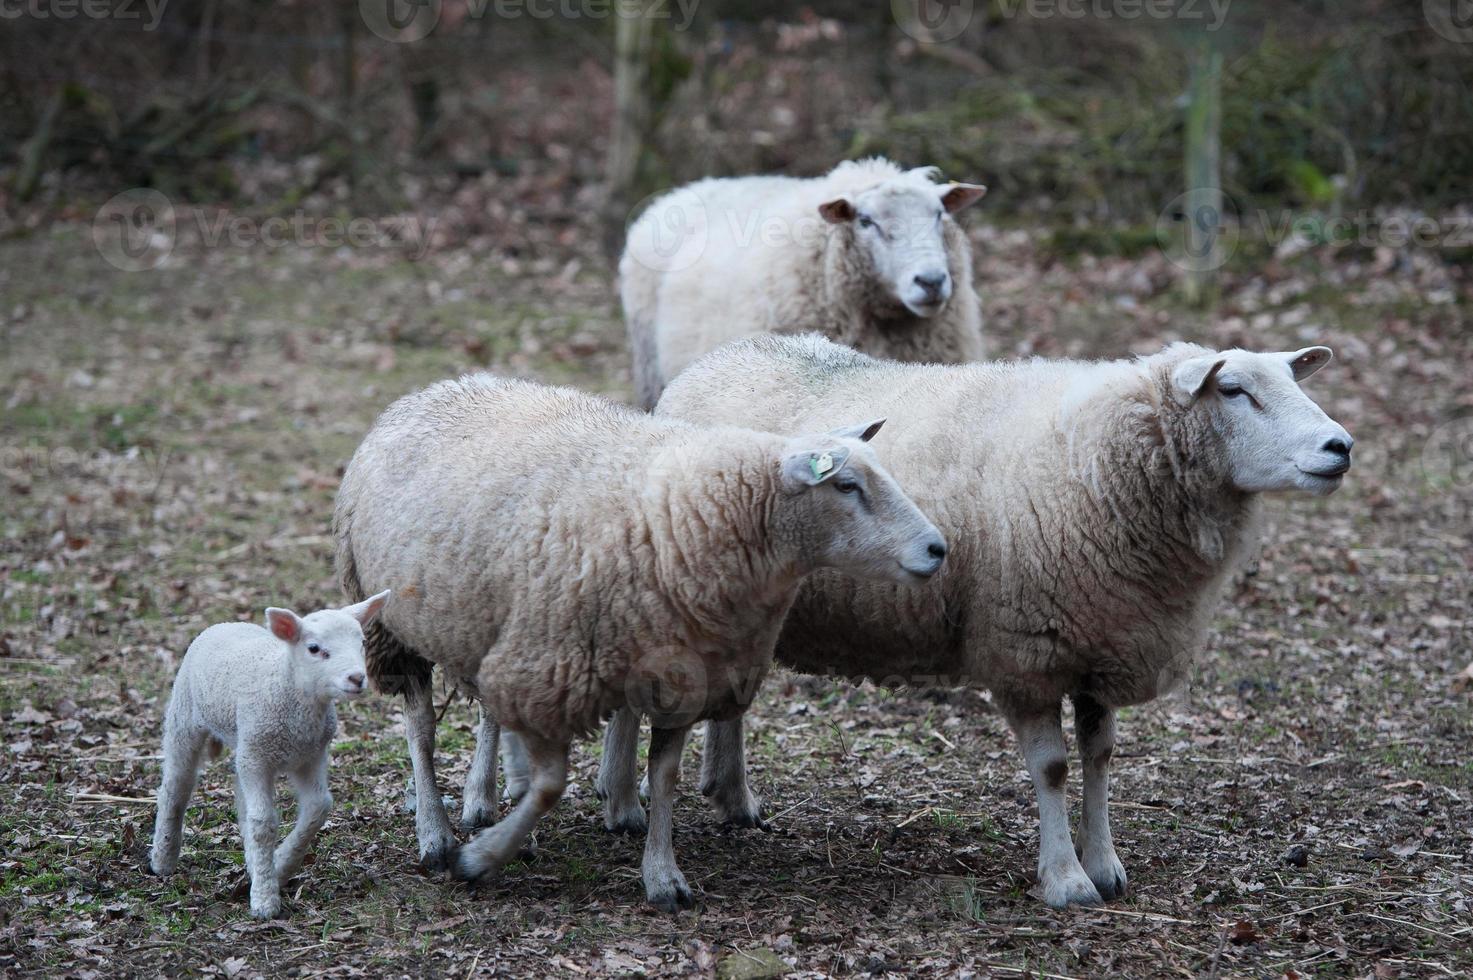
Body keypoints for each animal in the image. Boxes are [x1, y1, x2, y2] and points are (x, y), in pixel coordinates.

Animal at [149, 589, 391, 919]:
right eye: (314, 649)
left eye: (363, 643)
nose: (356, 678)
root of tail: (224, 623)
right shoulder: (259, 758)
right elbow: (263, 823)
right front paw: (265, 901)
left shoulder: (310, 755)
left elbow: (318, 807)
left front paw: (279, 868)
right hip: (186, 719)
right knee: (176, 787)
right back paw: (163, 858)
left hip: (246, 745)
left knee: (240, 798)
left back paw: (253, 863)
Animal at [334, 371, 942, 907]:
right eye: (847, 485)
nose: (938, 548)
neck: (697, 515)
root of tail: (436, 388)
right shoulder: (547, 670)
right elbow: (551, 783)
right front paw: (482, 857)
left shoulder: (685, 675)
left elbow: (665, 776)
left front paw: (662, 876)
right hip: (391, 626)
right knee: (421, 729)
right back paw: (436, 834)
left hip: (485, 621)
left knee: (485, 709)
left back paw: (482, 800)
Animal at [592, 333, 1349, 907]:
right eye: (1234, 391)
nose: (1339, 446)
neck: (1104, 458)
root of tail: (716, 357)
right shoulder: (1029, 648)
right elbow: (1052, 768)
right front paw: (1066, 880)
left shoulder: (1099, 641)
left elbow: (1100, 758)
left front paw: (1105, 865)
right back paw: (623, 802)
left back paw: (731, 795)